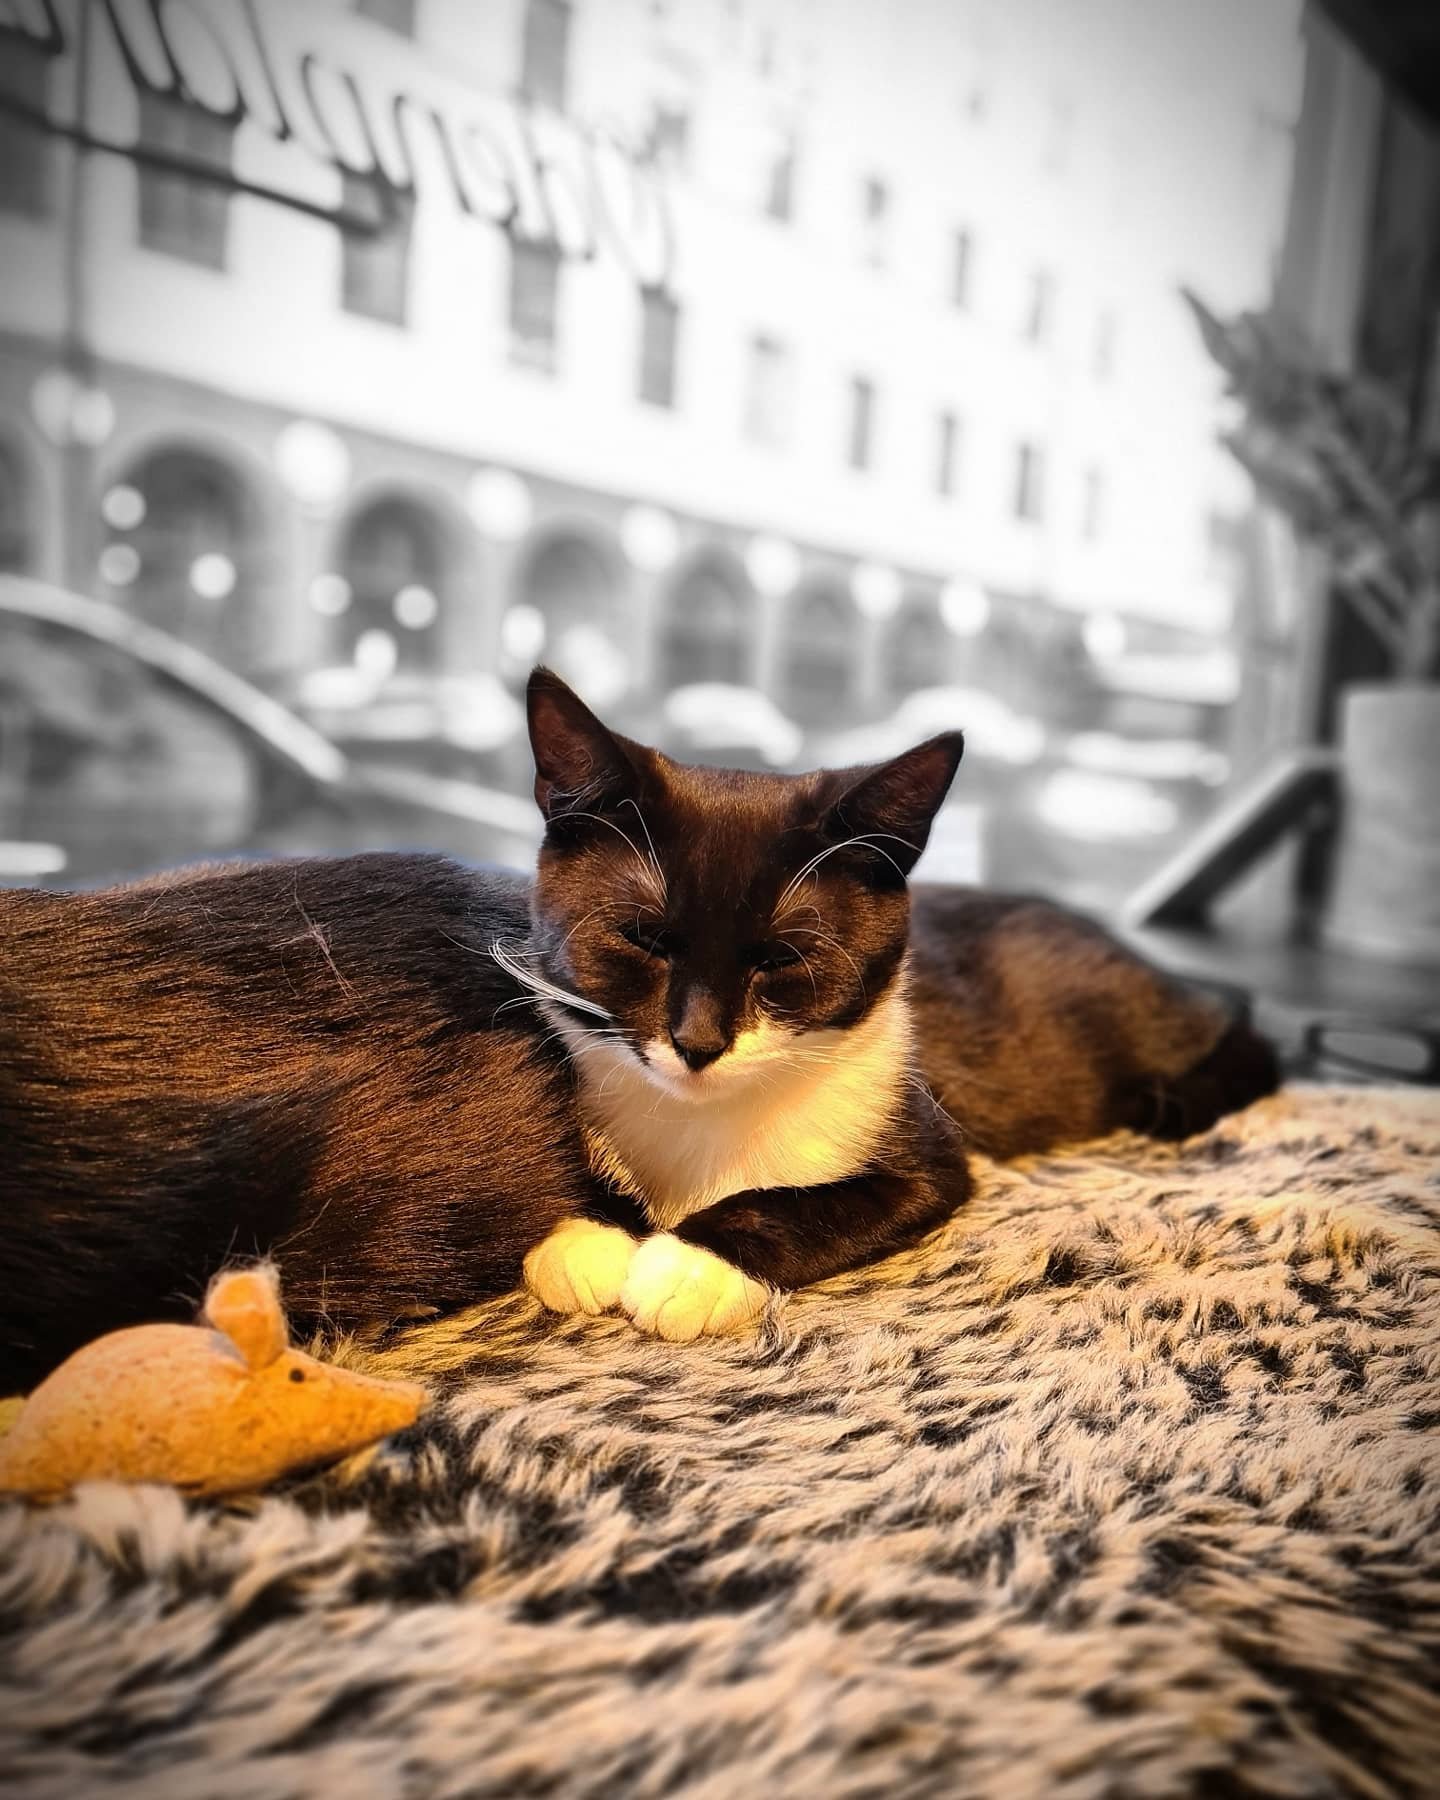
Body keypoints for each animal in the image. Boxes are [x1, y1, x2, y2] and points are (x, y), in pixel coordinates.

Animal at [0, 667, 1277, 1388]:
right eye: (644, 941)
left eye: (783, 962)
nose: (699, 1041)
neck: (704, 1126)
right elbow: (549, 1167)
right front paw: (591, 1235)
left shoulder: (927, 1147)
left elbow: (831, 1199)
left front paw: (693, 1261)